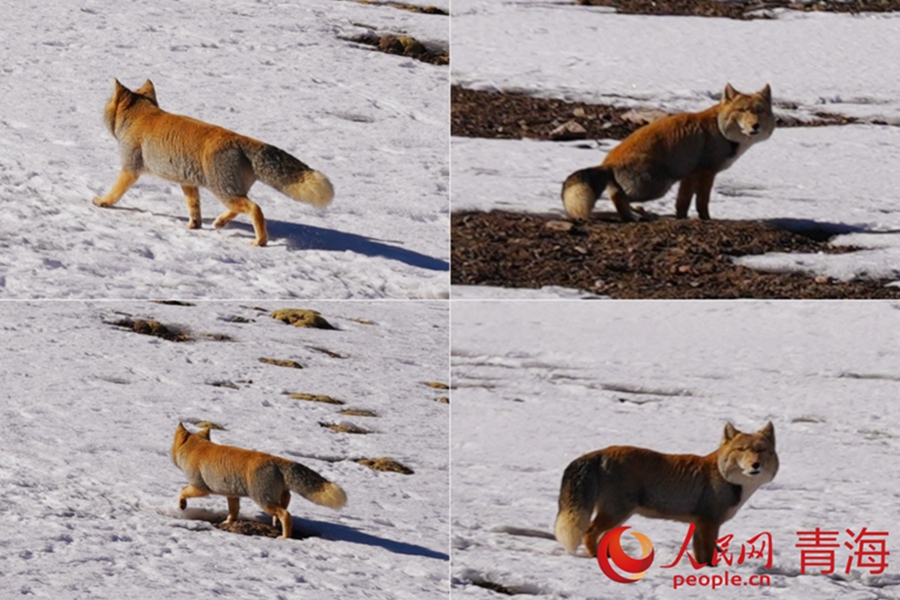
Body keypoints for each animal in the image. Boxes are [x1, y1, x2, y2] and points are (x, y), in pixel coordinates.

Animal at [94, 79, 334, 246]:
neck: (142, 117)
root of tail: (243, 140)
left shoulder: (130, 169)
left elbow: (115, 192)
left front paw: (102, 202)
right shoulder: (188, 183)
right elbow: (194, 208)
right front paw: (195, 225)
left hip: (223, 190)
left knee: (254, 208)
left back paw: (260, 241)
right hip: (229, 191)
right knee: (239, 208)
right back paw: (219, 222)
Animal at [171, 422, 346, 540]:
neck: (197, 449)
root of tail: (276, 459)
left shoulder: (200, 487)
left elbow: (182, 491)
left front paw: (181, 505)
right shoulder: (232, 494)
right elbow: (233, 512)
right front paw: (227, 522)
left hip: (262, 500)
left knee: (286, 514)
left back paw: (284, 537)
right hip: (274, 496)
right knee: (286, 501)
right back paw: (276, 522)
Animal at [552, 420, 776, 564]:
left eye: (761, 450)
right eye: (742, 450)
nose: (755, 465)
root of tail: (600, 452)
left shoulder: (698, 524)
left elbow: (700, 555)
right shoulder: (709, 523)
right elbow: (708, 555)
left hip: (619, 515)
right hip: (617, 512)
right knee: (589, 533)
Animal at [556, 84, 772, 223]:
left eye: (759, 111)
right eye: (742, 110)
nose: (755, 126)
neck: (720, 130)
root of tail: (607, 163)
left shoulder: (689, 175)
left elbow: (682, 203)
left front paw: (682, 219)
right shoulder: (705, 172)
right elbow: (702, 202)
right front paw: (706, 220)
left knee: (616, 194)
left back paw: (634, 216)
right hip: (658, 186)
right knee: (618, 196)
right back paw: (635, 216)